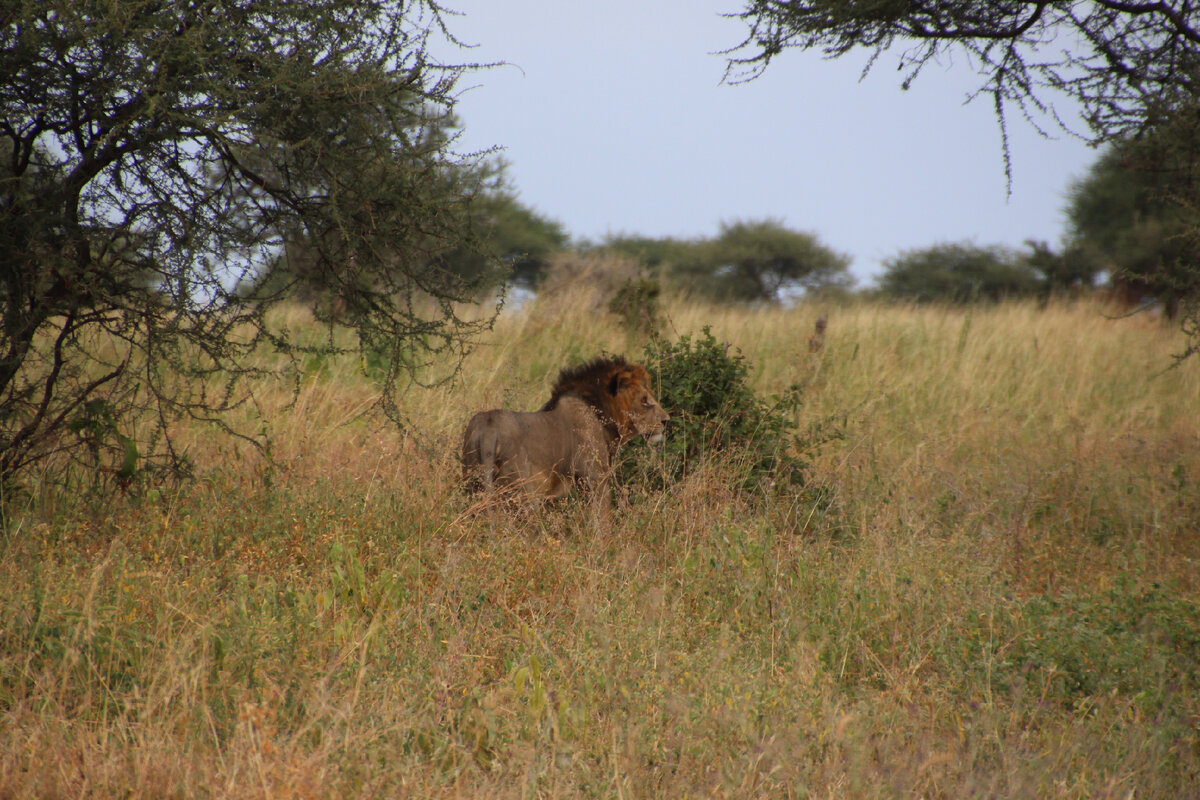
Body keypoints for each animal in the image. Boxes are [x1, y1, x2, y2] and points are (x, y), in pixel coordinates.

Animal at [458, 357, 667, 506]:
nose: (666, 421)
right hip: (523, 493)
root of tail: (488, 428)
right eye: (645, 401)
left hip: (473, 482)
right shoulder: (594, 480)